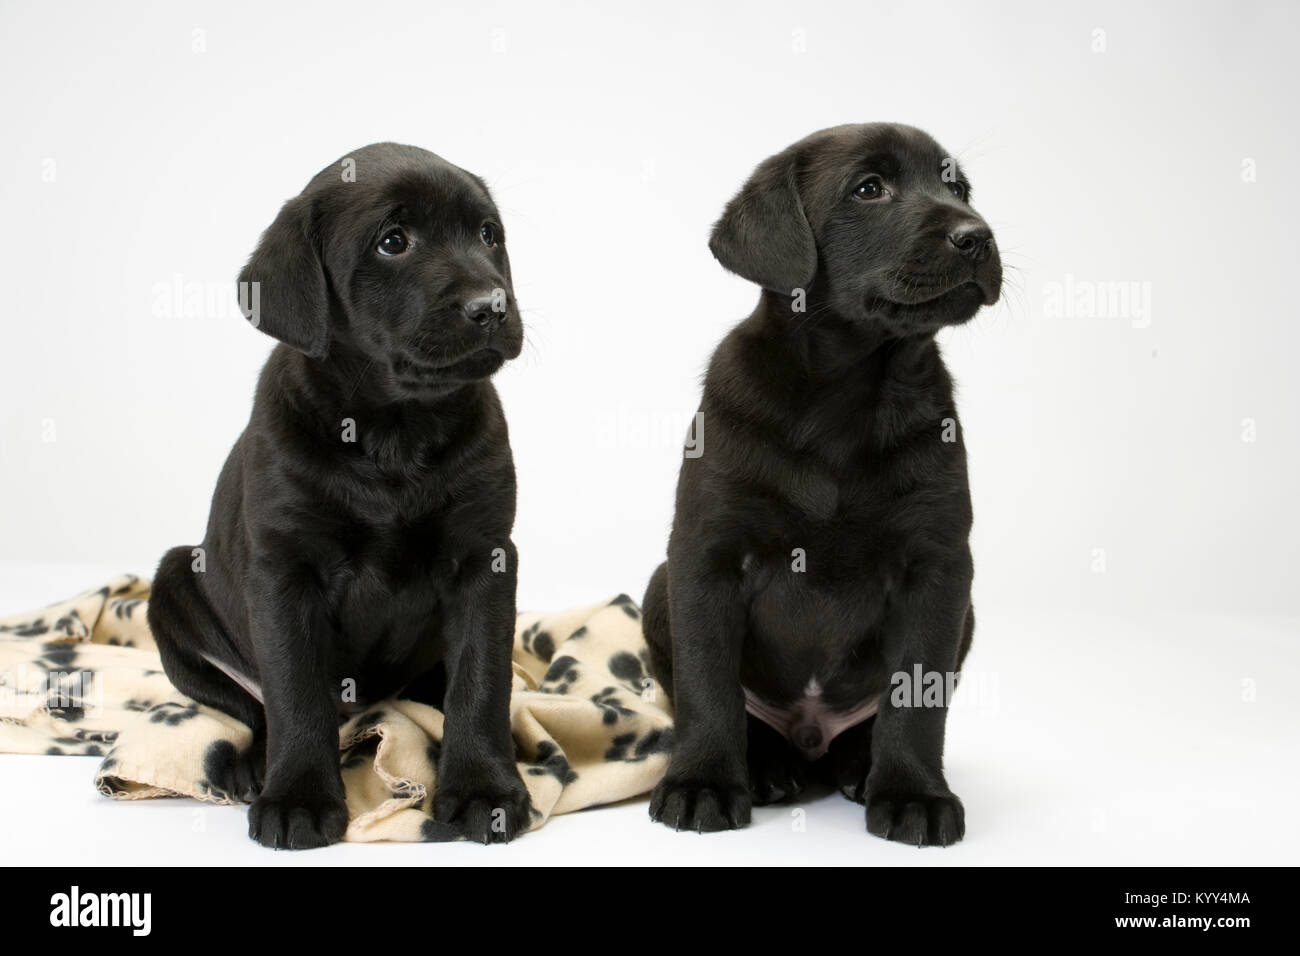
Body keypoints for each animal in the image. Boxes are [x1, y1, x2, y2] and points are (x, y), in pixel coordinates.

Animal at [143, 140, 527, 842]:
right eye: (393, 241)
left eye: (489, 235)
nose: (492, 306)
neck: (394, 431)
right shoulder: (284, 570)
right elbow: (295, 692)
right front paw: (297, 797)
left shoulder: (484, 558)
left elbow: (481, 680)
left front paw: (484, 787)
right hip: (176, 578)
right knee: (253, 705)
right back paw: (252, 765)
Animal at [642, 125, 1003, 842]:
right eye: (869, 188)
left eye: (959, 188)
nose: (978, 235)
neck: (847, 395)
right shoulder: (705, 556)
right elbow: (707, 683)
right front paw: (702, 783)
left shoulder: (939, 567)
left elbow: (917, 697)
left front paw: (914, 794)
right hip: (656, 588)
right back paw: (764, 767)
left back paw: (861, 768)